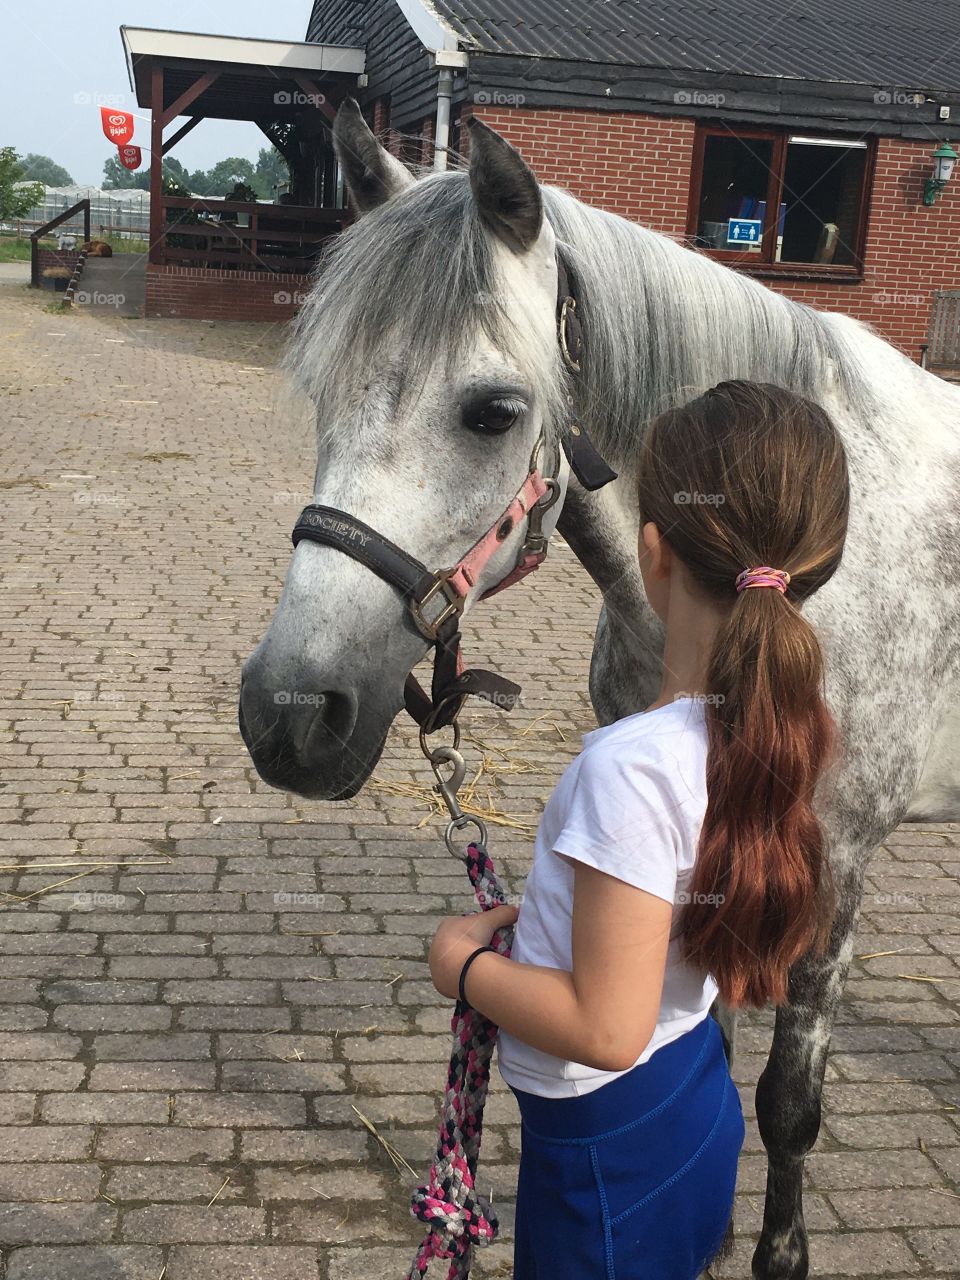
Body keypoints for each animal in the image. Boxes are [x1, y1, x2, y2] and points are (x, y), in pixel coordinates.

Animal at [239, 100, 960, 1279]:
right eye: (321, 391)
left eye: (493, 412)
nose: (291, 717)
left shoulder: (839, 861)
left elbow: (789, 1101)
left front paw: (777, 1254)